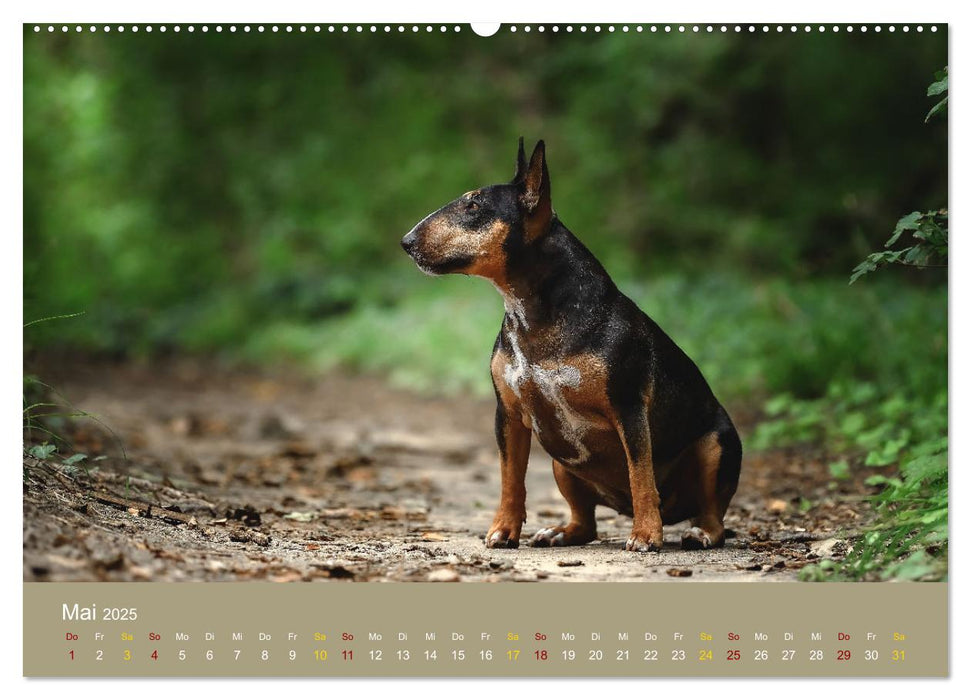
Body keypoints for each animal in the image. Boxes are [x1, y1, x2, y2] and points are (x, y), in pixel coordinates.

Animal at [402, 138, 744, 552]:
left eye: (474, 206)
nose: (406, 242)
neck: (534, 312)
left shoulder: (630, 408)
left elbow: (641, 475)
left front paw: (647, 535)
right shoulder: (508, 415)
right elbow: (510, 478)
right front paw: (503, 530)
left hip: (717, 445)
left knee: (713, 514)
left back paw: (699, 532)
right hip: (562, 462)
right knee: (587, 522)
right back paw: (560, 532)